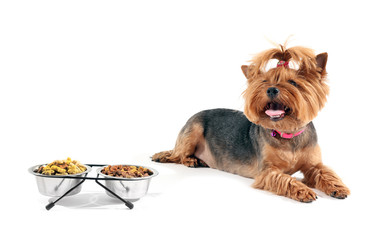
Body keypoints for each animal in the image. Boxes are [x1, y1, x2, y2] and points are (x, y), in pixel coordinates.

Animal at [152, 45, 350, 202]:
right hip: (193, 130)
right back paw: (191, 160)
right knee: (178, 155)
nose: (271, 89)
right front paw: (302, 190)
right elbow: (286, 179)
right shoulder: (267, 171)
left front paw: (337, 187)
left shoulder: (313, 165)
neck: (287, 132)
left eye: (293, 83)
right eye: (265, 82)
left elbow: (325, 171)